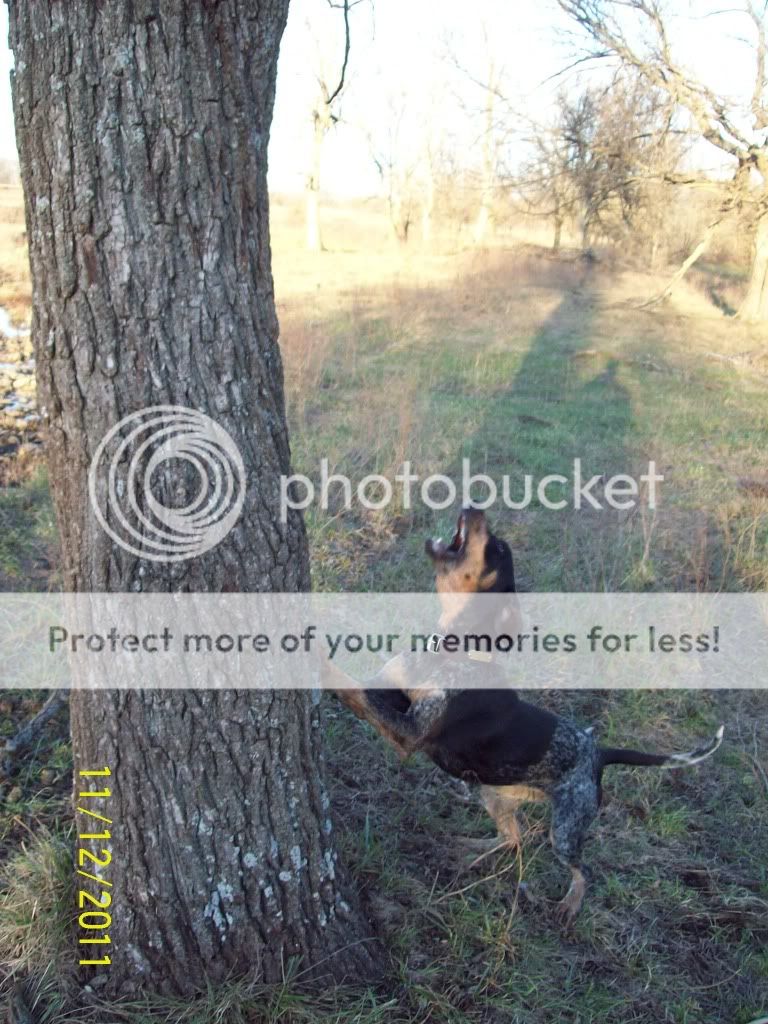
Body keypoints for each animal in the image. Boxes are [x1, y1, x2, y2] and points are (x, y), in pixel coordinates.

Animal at [325, 507, 724, 921]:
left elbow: (350, 685)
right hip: (494, 794)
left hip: (564, 829)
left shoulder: (409, 731)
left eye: (498, 548)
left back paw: (569, 905)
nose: (475, 506)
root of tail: (598, 751)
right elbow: (360, 686)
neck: (455, 647)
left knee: (581, 868)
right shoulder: (390, 693)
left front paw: (318, 663)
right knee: (514, 839)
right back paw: (469, 848)